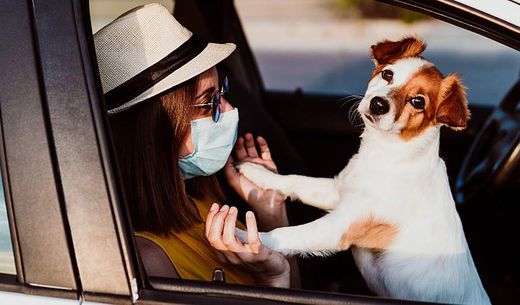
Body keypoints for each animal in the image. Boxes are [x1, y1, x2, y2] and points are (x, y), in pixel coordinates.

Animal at [238, 38, 490, 304]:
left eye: (418, 102)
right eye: (388, 74)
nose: (378, 104)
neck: (387, 157)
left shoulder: (337, 227)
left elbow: (285, 234)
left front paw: (242, 237)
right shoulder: (337, 191)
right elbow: (296, 181)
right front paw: (257, 172)